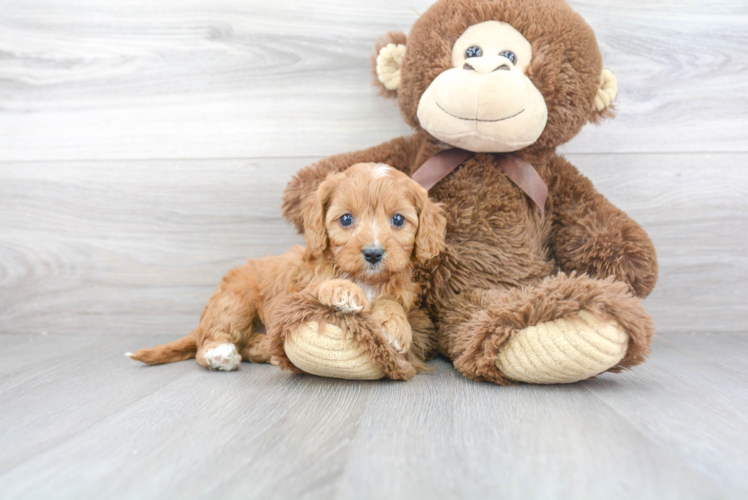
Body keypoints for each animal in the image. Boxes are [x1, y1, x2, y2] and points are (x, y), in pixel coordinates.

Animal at [129, 164, 448, 372]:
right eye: (346, 219)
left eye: (398, 220)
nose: (373, 253)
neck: (365, 279)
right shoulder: (294, 293)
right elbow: (321, 286)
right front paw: (344, 292)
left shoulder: (399, 291)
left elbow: (391, 304)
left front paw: (395, 326)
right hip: (236, 299)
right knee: (211, 338)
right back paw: (219, 353)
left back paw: (264, 348)